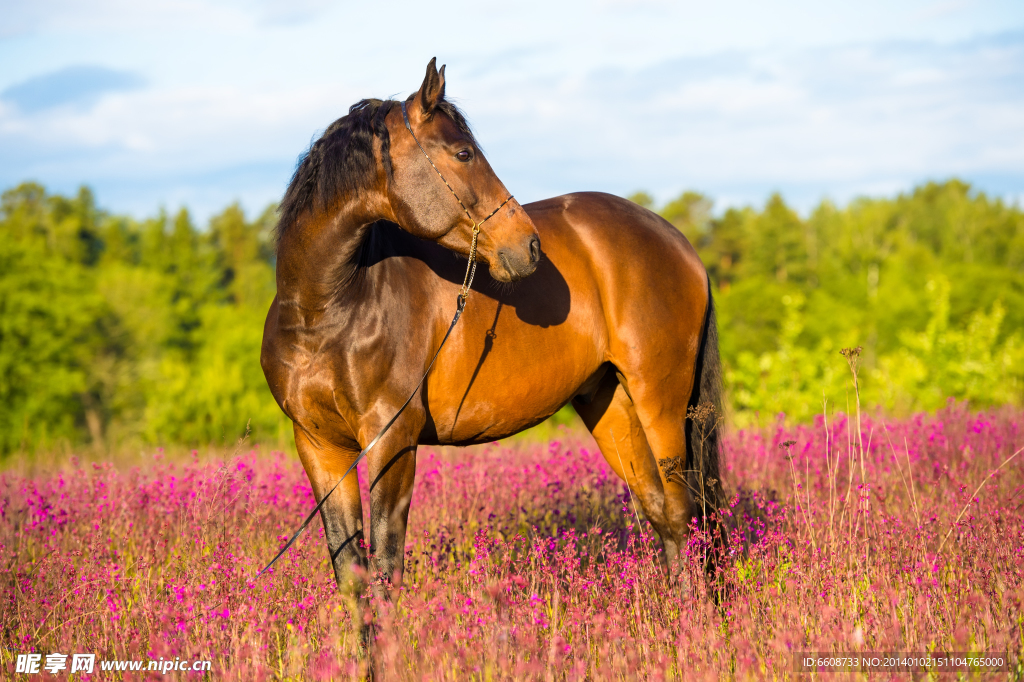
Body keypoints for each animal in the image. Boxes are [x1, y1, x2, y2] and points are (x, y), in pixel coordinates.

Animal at [264, 58, 729, 606]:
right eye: (463, 152)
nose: (528, 245)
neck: (328, 309)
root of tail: (677, 241)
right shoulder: (319, 448)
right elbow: (353, 574)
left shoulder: (391, 440)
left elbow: (386, 567)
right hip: (610, 403)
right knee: (663, 514)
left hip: (661, 401)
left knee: (684, 512)